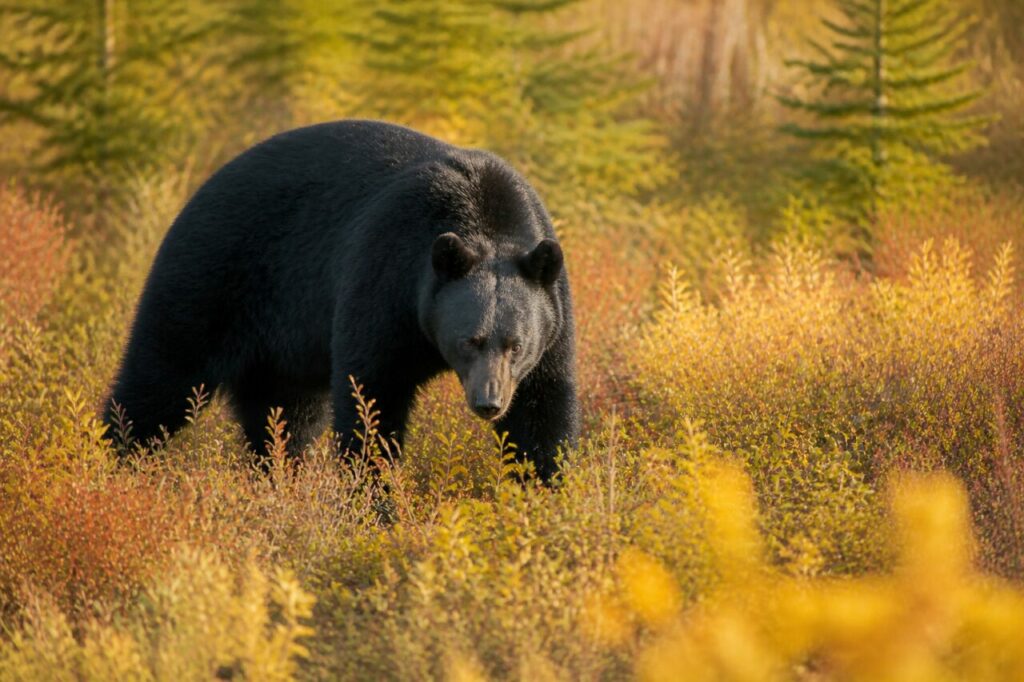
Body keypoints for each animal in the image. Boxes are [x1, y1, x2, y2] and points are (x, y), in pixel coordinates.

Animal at [104, 119, 580, 482]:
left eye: (516, 345)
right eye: (469, 341)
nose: (489, 403)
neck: (481, 214)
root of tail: (203, 187)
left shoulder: (552, 315)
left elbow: (543, 405)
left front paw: (546, 489)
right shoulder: (384, 278)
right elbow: (372, 393)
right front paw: (374, 498)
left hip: (282, 345)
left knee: (283, 416)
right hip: (210, 277)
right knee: (160, 377)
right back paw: (110, 459)